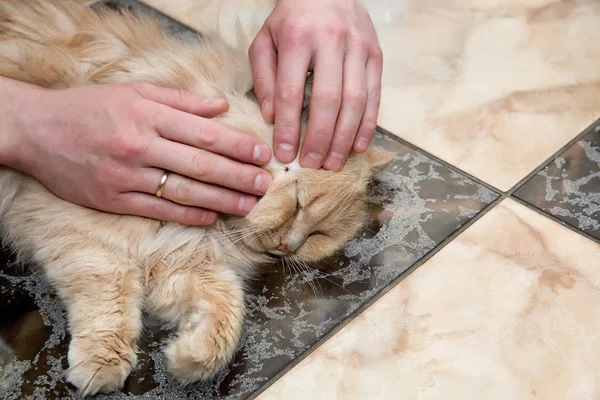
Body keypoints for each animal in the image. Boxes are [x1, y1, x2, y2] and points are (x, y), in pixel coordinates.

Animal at [0, 0, 394, 396]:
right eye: (299, 203)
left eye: (317, 236)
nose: (288, 246)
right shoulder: (77, 225)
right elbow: (110, 298)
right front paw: (102, 366)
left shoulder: (183, 262)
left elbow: (226, 312)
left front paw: (188, 357)